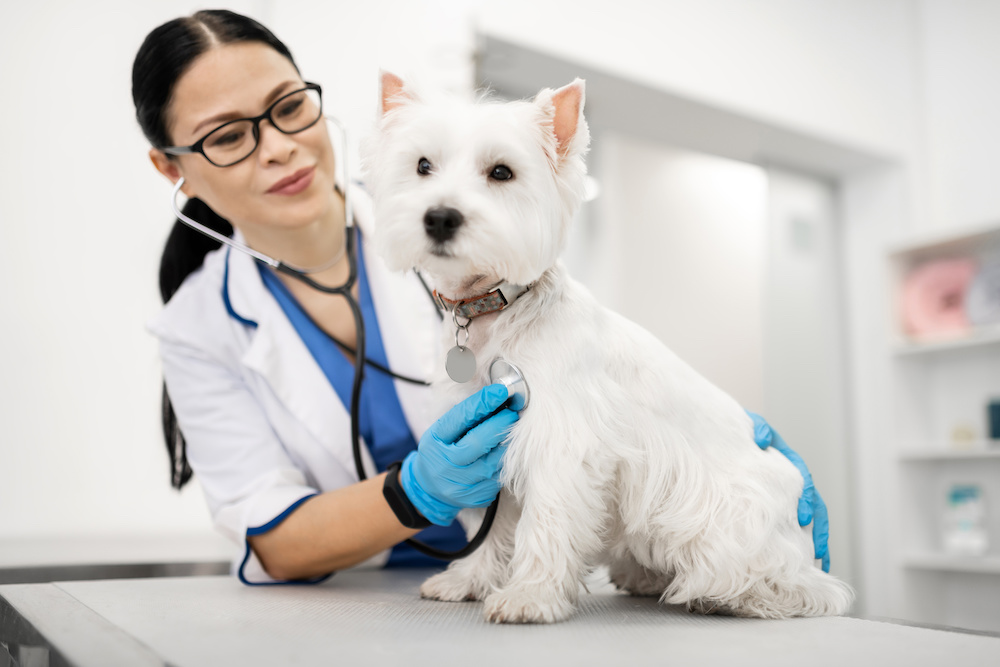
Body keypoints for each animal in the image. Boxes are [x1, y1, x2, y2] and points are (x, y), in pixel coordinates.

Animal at [364, 73, 856, 628]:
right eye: (422, 165)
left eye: (501, 172)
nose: (441, 218)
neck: (494, 311)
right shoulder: (481, 440)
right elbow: (489, 527)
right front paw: (469, 580)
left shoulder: (559, 440)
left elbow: (545, 519)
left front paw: (529, 595)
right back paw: (643, 575)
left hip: (735, 519)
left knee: (807, 589)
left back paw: (731, 595)